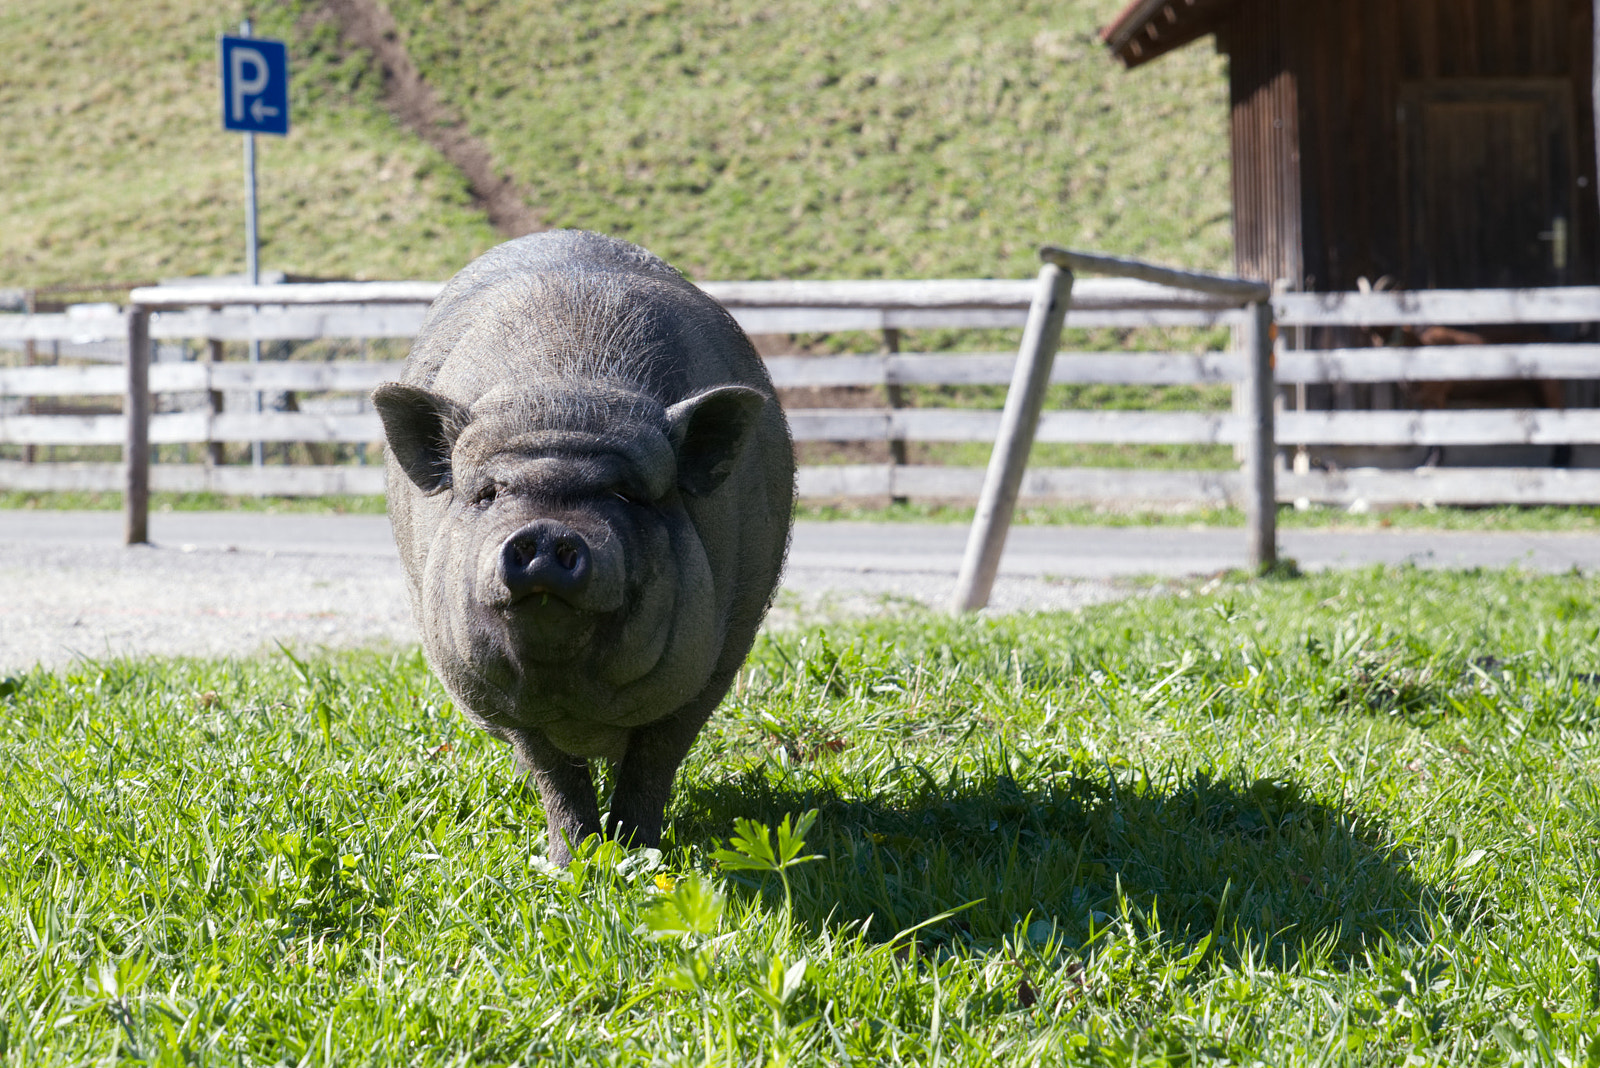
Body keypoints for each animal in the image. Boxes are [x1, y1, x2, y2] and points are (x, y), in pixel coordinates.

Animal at [372, 230, 794, 865]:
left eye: (626, 493)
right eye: (488, 493)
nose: (547, 533)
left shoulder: (715, 661)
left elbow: (653, 762)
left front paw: (639, 856)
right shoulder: (503, 702)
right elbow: (552, 772)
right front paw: (571, 860)